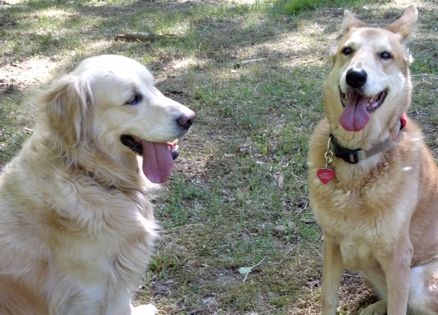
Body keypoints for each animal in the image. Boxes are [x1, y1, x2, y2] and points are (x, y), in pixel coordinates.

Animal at [310, 5, 438, 315]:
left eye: (385, 55)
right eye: (347, 50)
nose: (355, 76)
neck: (358, 159)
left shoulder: (398, 257)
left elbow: (398, 307)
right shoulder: (332, 243)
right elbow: (328, 298)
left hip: (420, 279)